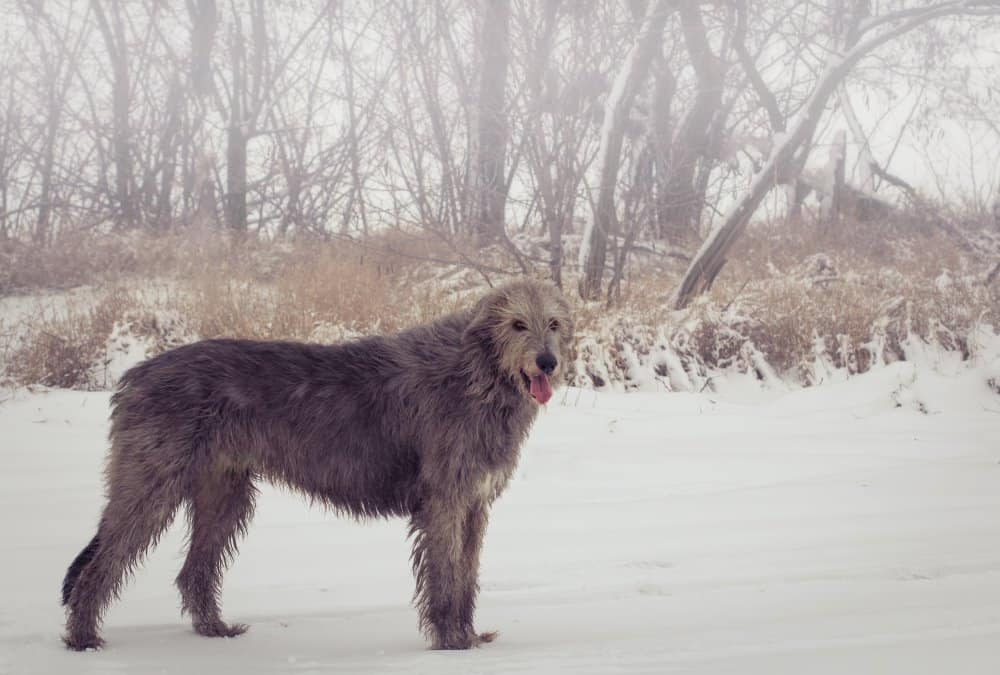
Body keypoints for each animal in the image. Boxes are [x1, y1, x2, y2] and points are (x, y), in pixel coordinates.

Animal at [62, 278, 576, 652]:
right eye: (516, 324)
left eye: (552, 323)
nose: (547, 363)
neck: (477, 373)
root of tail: (135, 374)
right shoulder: (445, 502)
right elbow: (445, 575)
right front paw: (452, 641)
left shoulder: (474, 505)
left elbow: (466, 575)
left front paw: (468, 635)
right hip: (152, 482)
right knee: (103, 561)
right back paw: (83, 638)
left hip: (223, 493)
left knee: (194, 571)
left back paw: (214, 631)